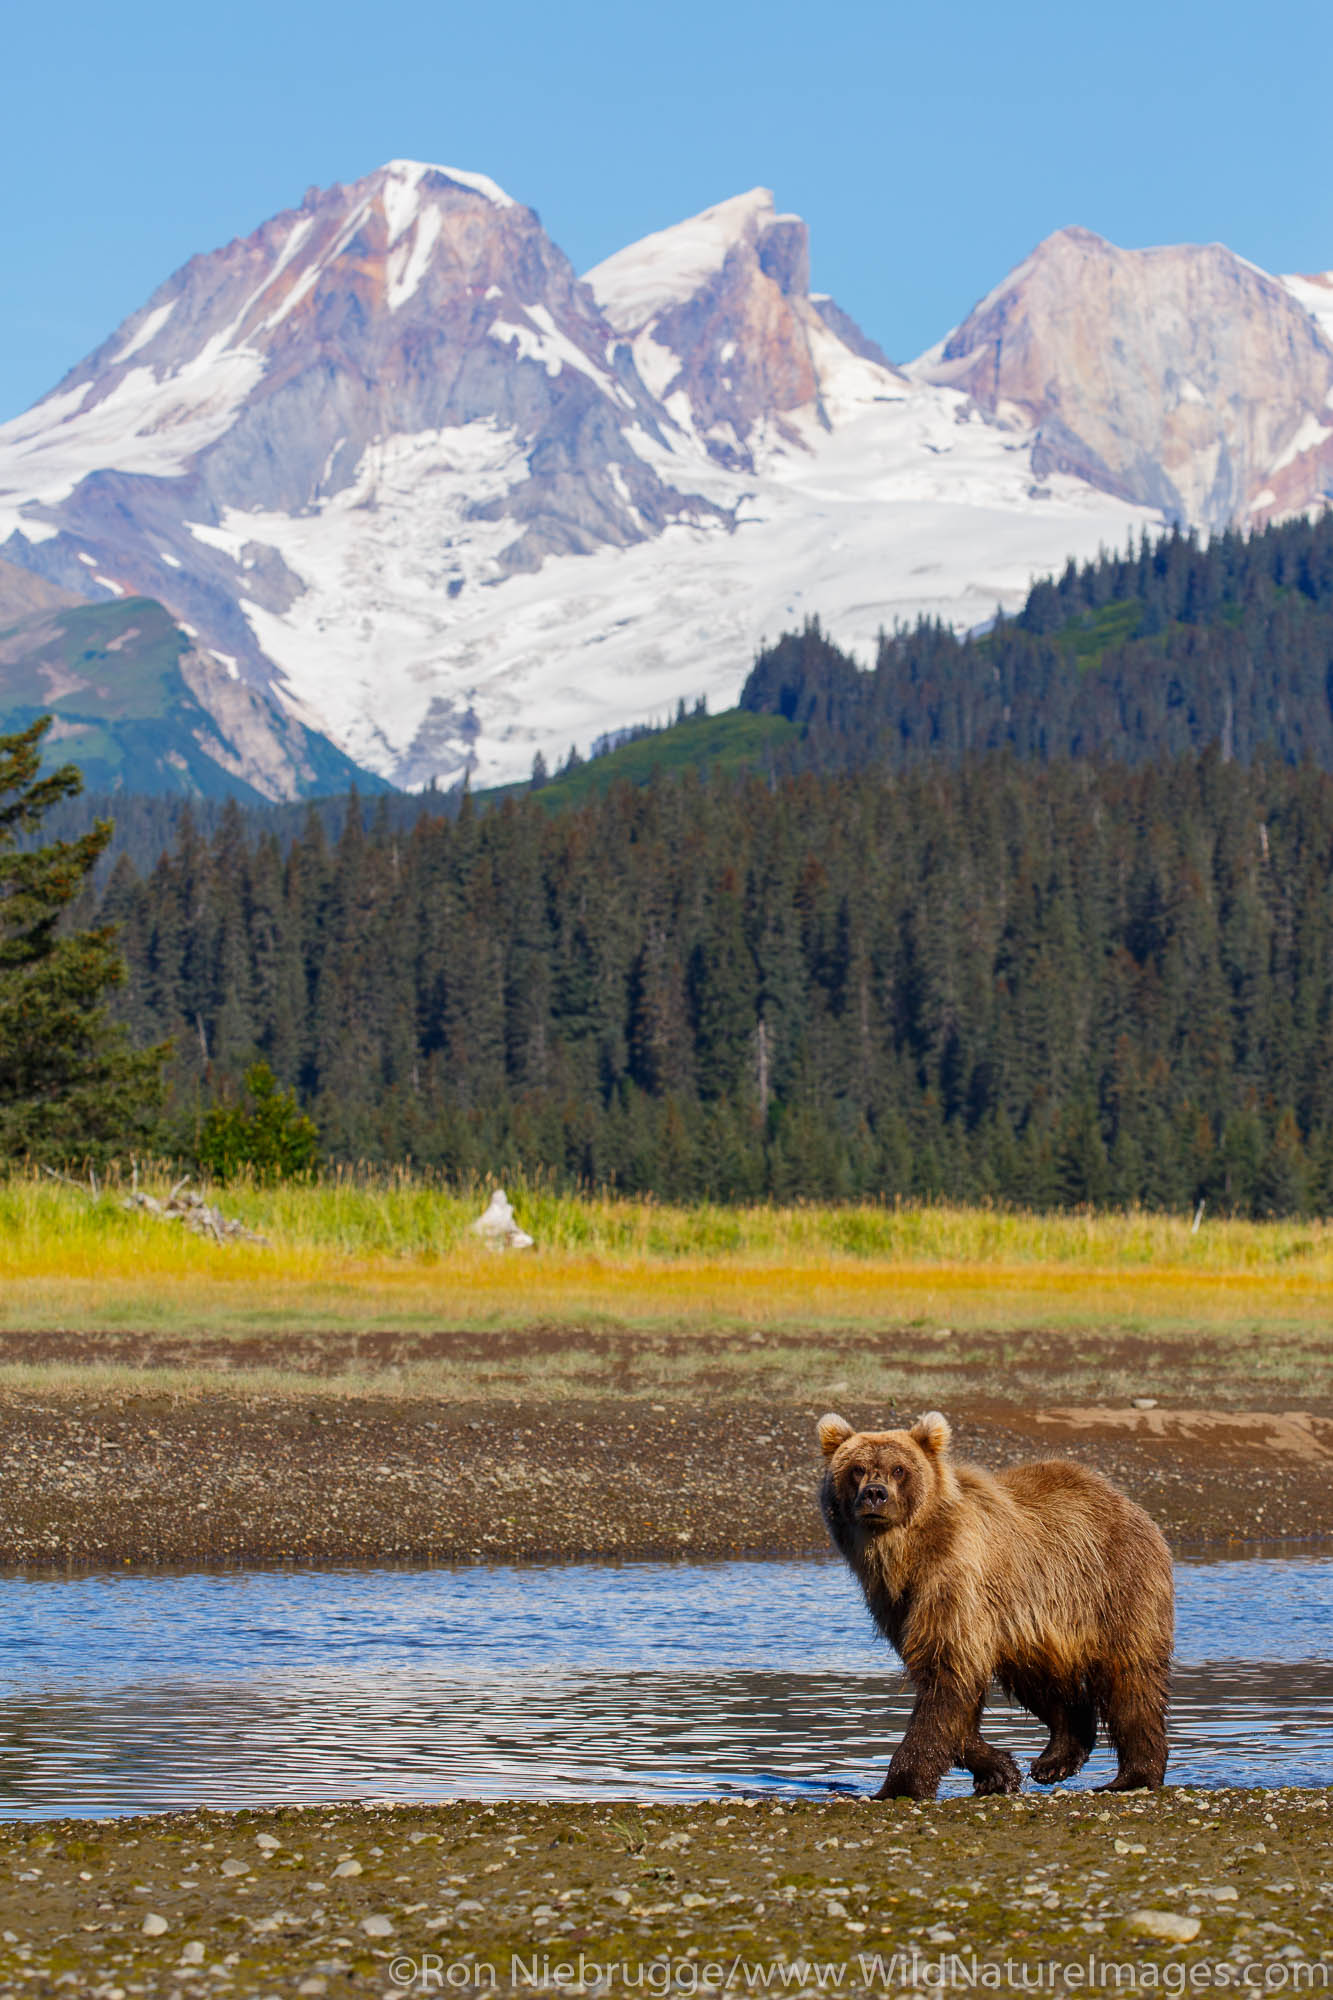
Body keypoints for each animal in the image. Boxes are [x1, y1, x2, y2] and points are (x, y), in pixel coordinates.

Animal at [816, 1408, 1168, 1800]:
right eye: (857, 1468)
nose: (875, 1494)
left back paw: (1132, 1776)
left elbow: (944, 1674)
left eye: (898, 1469)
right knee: (1041, 1678)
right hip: (1032, 1621)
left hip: (1112, 1586)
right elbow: (949, 1688)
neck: (907, 1554)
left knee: (1130, 1678)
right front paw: (998, 1769)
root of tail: (1126, 1502)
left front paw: (898, 1786)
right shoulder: (896, 1602)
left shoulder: (953, 1581)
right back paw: (1056, 1758)